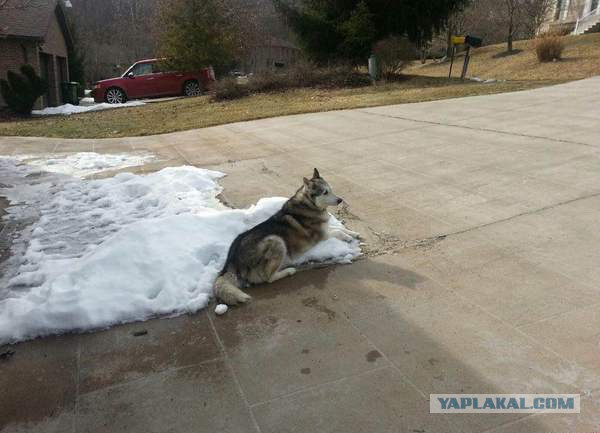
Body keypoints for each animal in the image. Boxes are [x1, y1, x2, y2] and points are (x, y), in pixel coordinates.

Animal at [214, 167, 358, 306]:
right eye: (325, 192)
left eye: (331, 190)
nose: (340, 200)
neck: (309, 205)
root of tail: (232, 260)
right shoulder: (322, 235)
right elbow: (338, 232)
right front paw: (348, 238)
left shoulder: (325, 229)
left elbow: (339, 228)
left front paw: (353, 233)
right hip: (277, 241)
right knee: (268, 278)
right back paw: (289, 271)